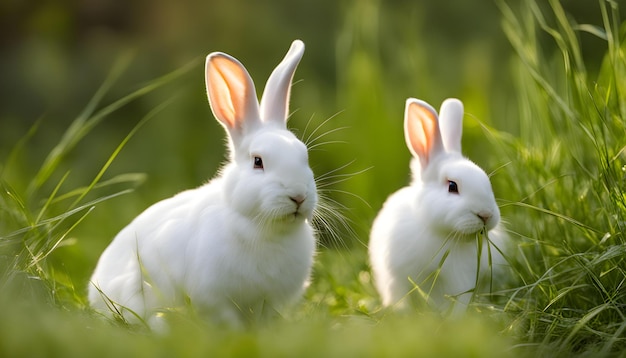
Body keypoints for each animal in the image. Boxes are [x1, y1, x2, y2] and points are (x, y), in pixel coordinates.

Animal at [88, 40, 316, 328]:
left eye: (304, 156)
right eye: (258, 161)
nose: (298, 196)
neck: (262, 227)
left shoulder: (269, 302)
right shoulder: (213, 297)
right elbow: (227, 320)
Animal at [368, 97, 504, 314]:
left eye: (486, 181)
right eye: (452, 186)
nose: (486, 215)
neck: (443, 234)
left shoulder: (459, 282)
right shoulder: (396, 278)